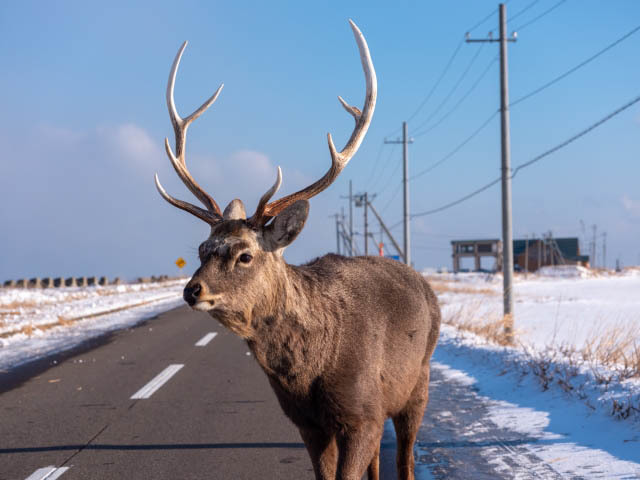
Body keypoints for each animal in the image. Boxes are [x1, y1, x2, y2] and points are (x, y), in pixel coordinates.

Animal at [155, 20, 440, 478]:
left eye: (245, 254)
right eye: (201, 248)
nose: (192, 290)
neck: (309, 372)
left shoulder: (363, 413)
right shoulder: (307, 422)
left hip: (418, 381)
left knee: (406, 459)